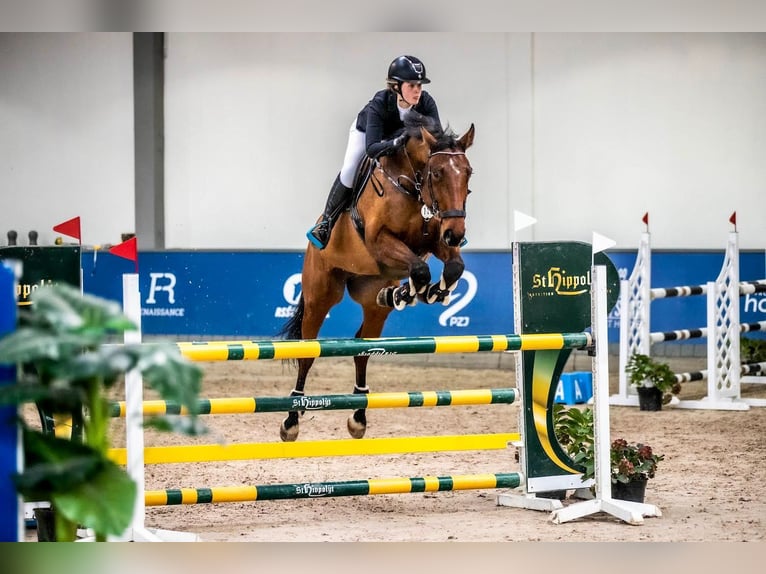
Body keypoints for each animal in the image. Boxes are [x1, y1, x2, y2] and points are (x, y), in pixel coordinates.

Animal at [280, 115, 476, 444]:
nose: (457, 234)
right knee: (307, 353)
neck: (411, 185)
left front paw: (429, 292)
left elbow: (452, 268)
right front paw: (418, 290)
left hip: (372, 301)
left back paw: (359, 416)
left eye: (468, 173)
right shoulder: (380, 240)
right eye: (437, 173)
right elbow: (419, 268)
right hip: (321, 295)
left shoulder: (432, 240)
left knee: (363, 348)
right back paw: (291, 419)